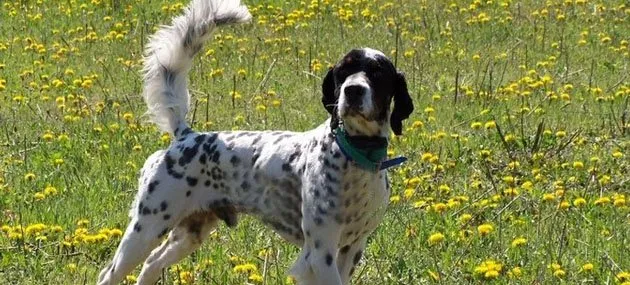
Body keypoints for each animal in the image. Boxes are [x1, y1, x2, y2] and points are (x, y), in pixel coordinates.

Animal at [97, 0, 414, 284]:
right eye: (342, 72)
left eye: (377, 73)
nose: (353, 90)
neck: (356, 156)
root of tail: (186, 136)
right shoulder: (318, 254)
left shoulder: (351, 248)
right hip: (146, 229)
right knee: (108, 274)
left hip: (188, 233)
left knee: (151, 266)